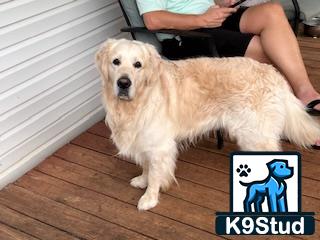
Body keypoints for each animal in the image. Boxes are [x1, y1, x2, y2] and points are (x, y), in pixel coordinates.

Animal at [96, 38, 320, 211]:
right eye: (116, 62)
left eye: (138, 65)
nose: (123, 83)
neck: (135, 104)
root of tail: (274, 73)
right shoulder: (143, 139)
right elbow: (146, 166)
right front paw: (142, 180)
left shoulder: (159, 145)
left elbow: (155, 175)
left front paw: (149, 198)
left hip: (255, 135)